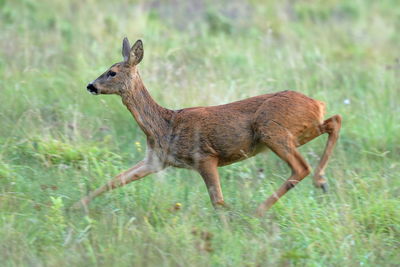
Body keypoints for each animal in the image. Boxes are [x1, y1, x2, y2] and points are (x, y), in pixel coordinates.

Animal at [74, 37, 340, 218]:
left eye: (112, 72)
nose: (90, 85)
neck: (164, 125)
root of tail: (316, 103)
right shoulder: (156, 159)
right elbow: (115, 180)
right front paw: (75, 206)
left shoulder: (205, 156)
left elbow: (217, 201)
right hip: (300, 131)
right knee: (334, 121)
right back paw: (321, 180)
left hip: (272, 130)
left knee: (301, 166)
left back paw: (262, 208)